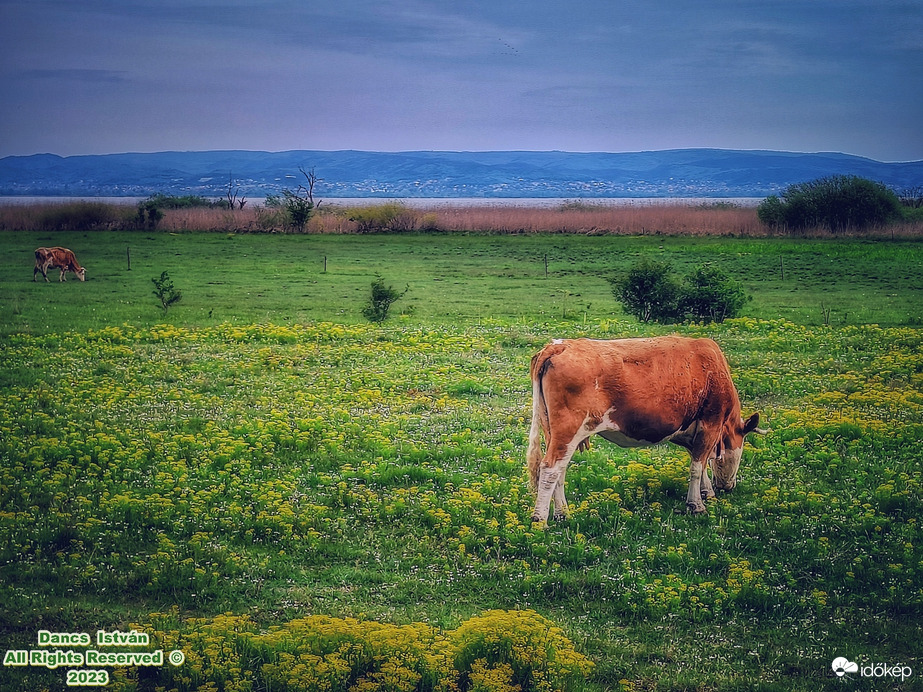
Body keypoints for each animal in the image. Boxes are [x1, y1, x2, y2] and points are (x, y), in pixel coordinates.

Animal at [532, 336, 760, 520]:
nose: (728, 487)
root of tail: (559, 345)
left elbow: (701, 462)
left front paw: (707, 492)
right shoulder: (710, 422)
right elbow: (696, 467)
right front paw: (696, 505)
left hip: (557, 434)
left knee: (560, 470)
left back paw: (563, 513)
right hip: (568, 430)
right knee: (551, 468)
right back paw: (540, 520)